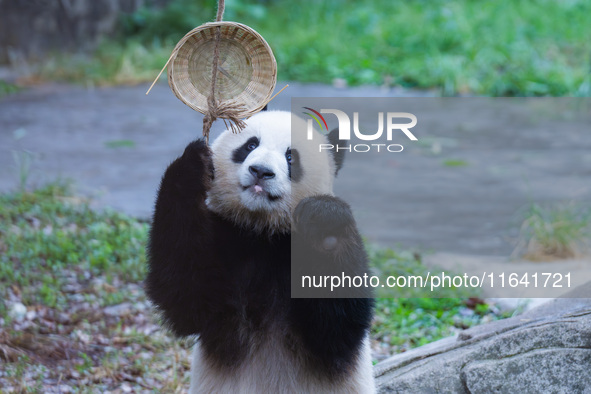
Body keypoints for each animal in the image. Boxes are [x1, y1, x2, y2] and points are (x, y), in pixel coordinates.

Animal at [147, 109, 374, 392]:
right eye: (250, 145)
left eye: (291, 157)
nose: (260, 171)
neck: (263, 231)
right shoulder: (226, 240)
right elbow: (185, 295)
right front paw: (193, 167)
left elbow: (337, 331)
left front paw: (325, 224)